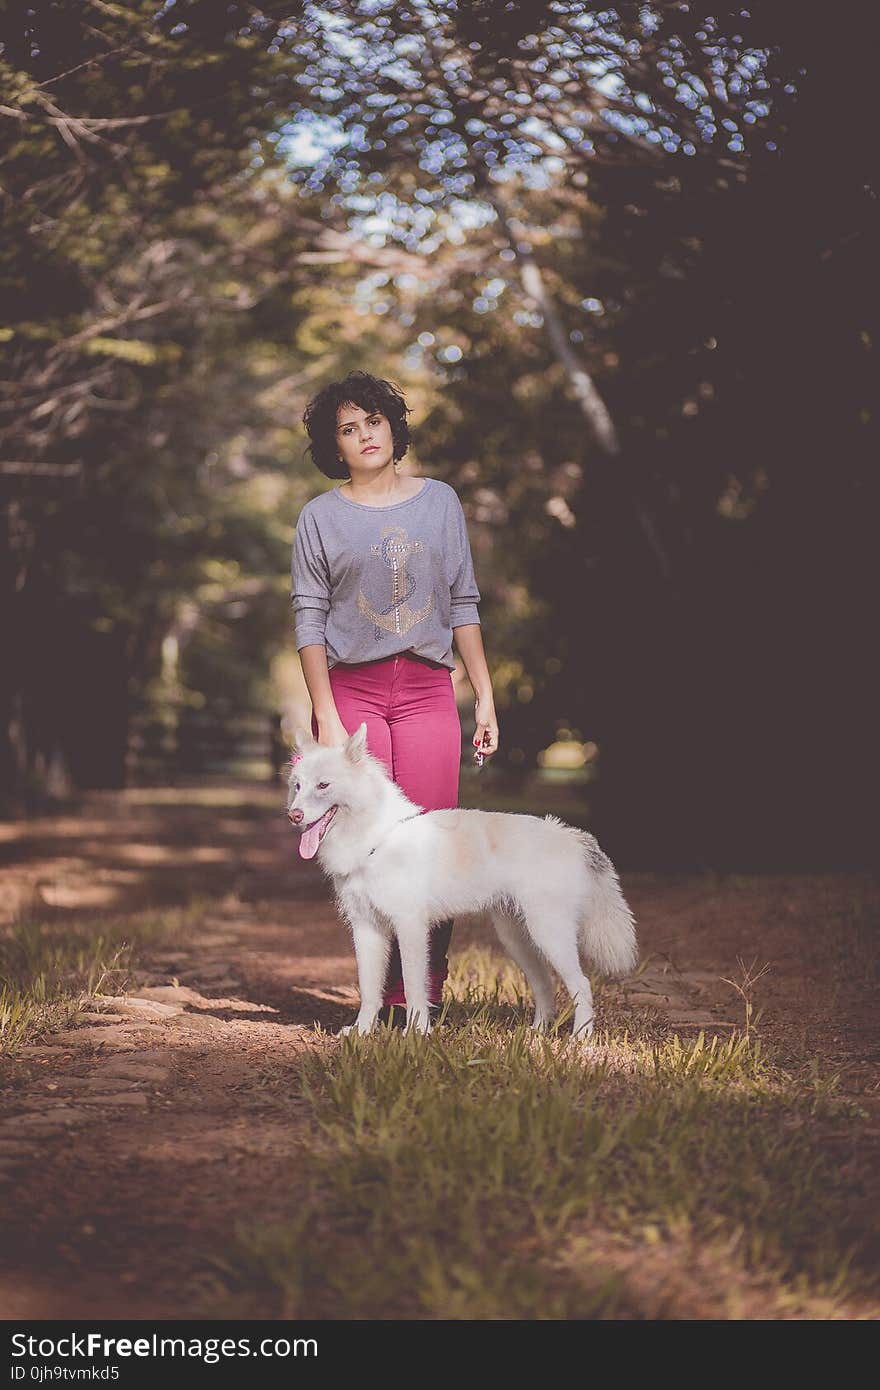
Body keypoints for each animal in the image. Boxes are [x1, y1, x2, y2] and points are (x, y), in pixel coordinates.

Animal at [287, 728, 639, 1034]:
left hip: (550, 934)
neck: (377, 838)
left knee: (581, 985)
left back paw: (580, 1038)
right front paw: (362, 1032)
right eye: (298, 786)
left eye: (323, 785)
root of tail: (570, 835)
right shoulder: (366, 929)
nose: (293, 815)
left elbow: (414, 987)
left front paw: (416, 1034)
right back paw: (536, 1034)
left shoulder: (410, 928)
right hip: (518, 938)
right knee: (545, 985)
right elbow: (369, 989)